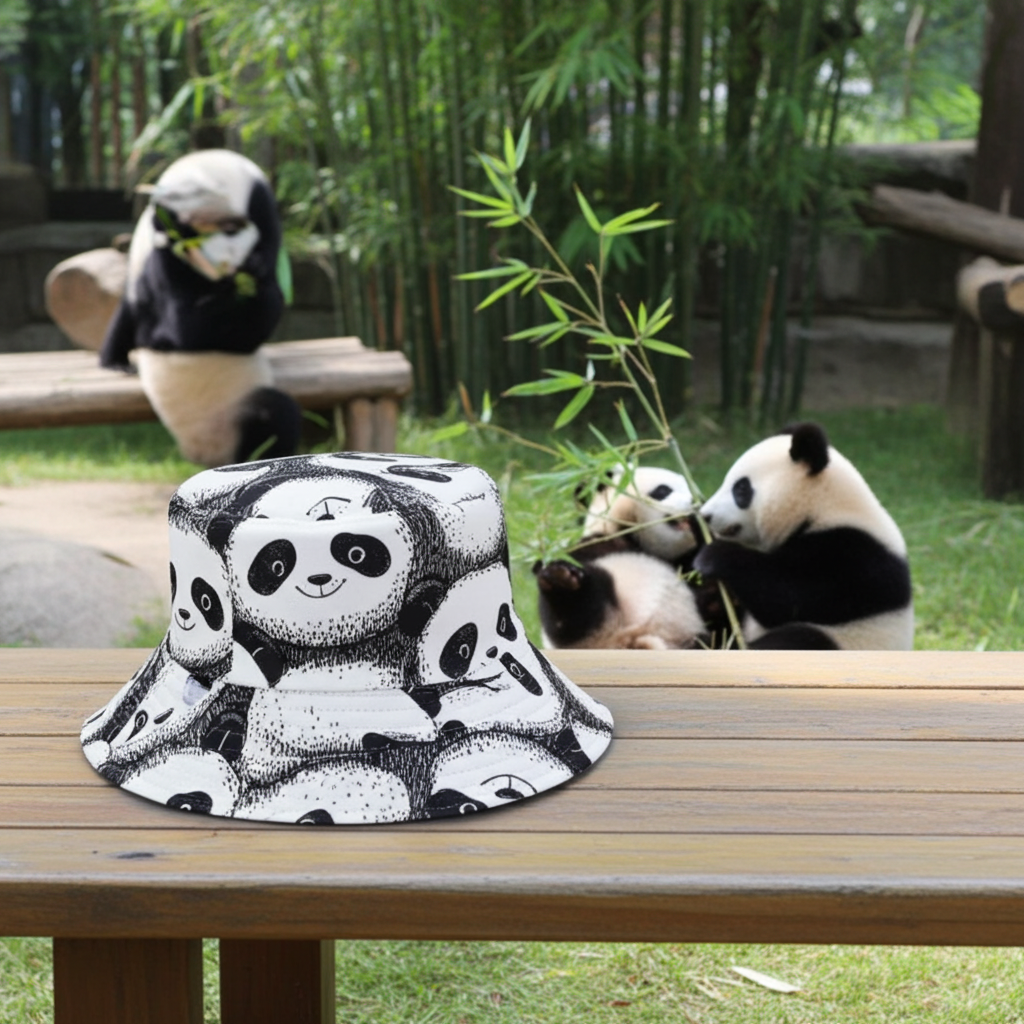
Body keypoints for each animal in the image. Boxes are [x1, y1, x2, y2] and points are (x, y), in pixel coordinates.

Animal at [99, 149, 301, 467]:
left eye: (233, 232)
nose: (229, 270)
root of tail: (205, 456)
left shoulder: (259, 204)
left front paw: (254, 278)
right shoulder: (161, 269)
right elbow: (184, 328)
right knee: (274, 411)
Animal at [695, 422, 913, 650]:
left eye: (741, 489)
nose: (706, 515)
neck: (822, 507)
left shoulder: (854, 556)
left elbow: (791, 598)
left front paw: (713, 556)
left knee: (796, 639)